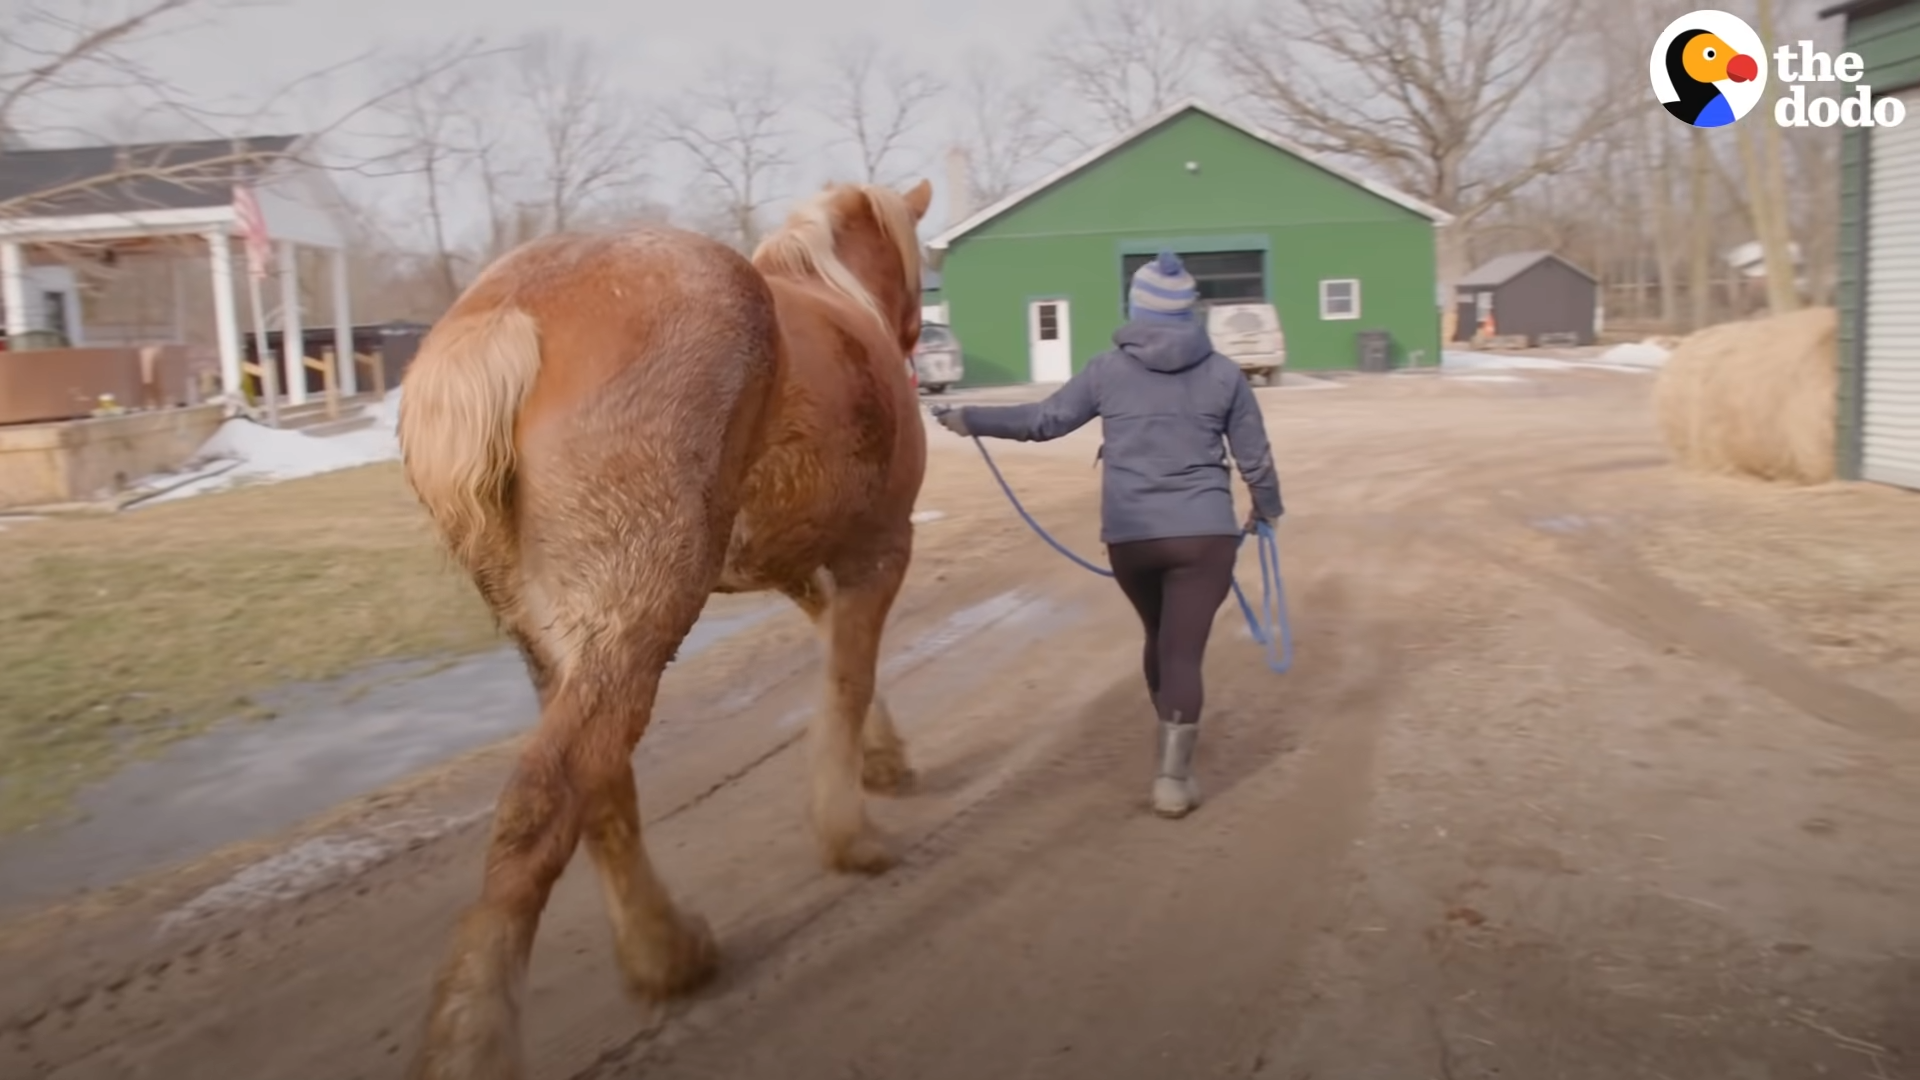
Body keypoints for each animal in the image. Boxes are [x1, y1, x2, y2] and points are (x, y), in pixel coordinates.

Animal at [393, 180, 933, 1068]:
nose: (919, 337)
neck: (835, 303)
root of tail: (506, 316)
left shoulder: (799, 571)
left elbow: (837, 668)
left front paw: (881, 763)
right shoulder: (877, 552)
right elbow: (848, 681)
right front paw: (850, 836)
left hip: (561, 642)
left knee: (599, 789)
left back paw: (667, 951)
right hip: (638, 623)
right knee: (548, 801)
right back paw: (481, 1038)